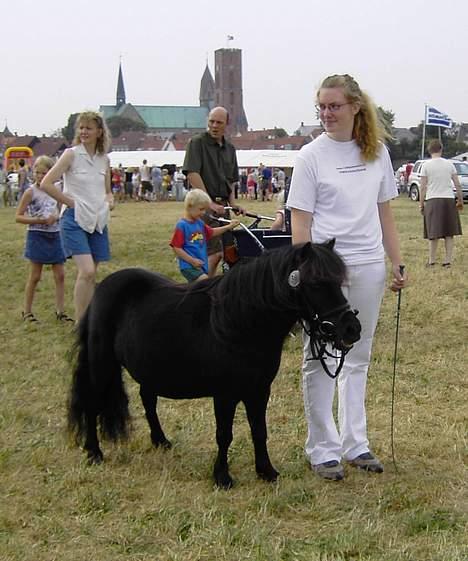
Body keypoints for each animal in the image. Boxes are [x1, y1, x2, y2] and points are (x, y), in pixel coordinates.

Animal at [66, 238, 362, 488]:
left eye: (339, 281)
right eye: (315, 283)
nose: (351, 329)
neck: (238, 323)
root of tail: (102, 289)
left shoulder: (259, 390)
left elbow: (259, 430)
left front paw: (266, 471)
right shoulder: (225, 394)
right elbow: (224, 434)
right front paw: (222, 477)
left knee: (148, 400)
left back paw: (161, 441)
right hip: (101, 364)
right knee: (92, 404)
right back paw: (94, 452)